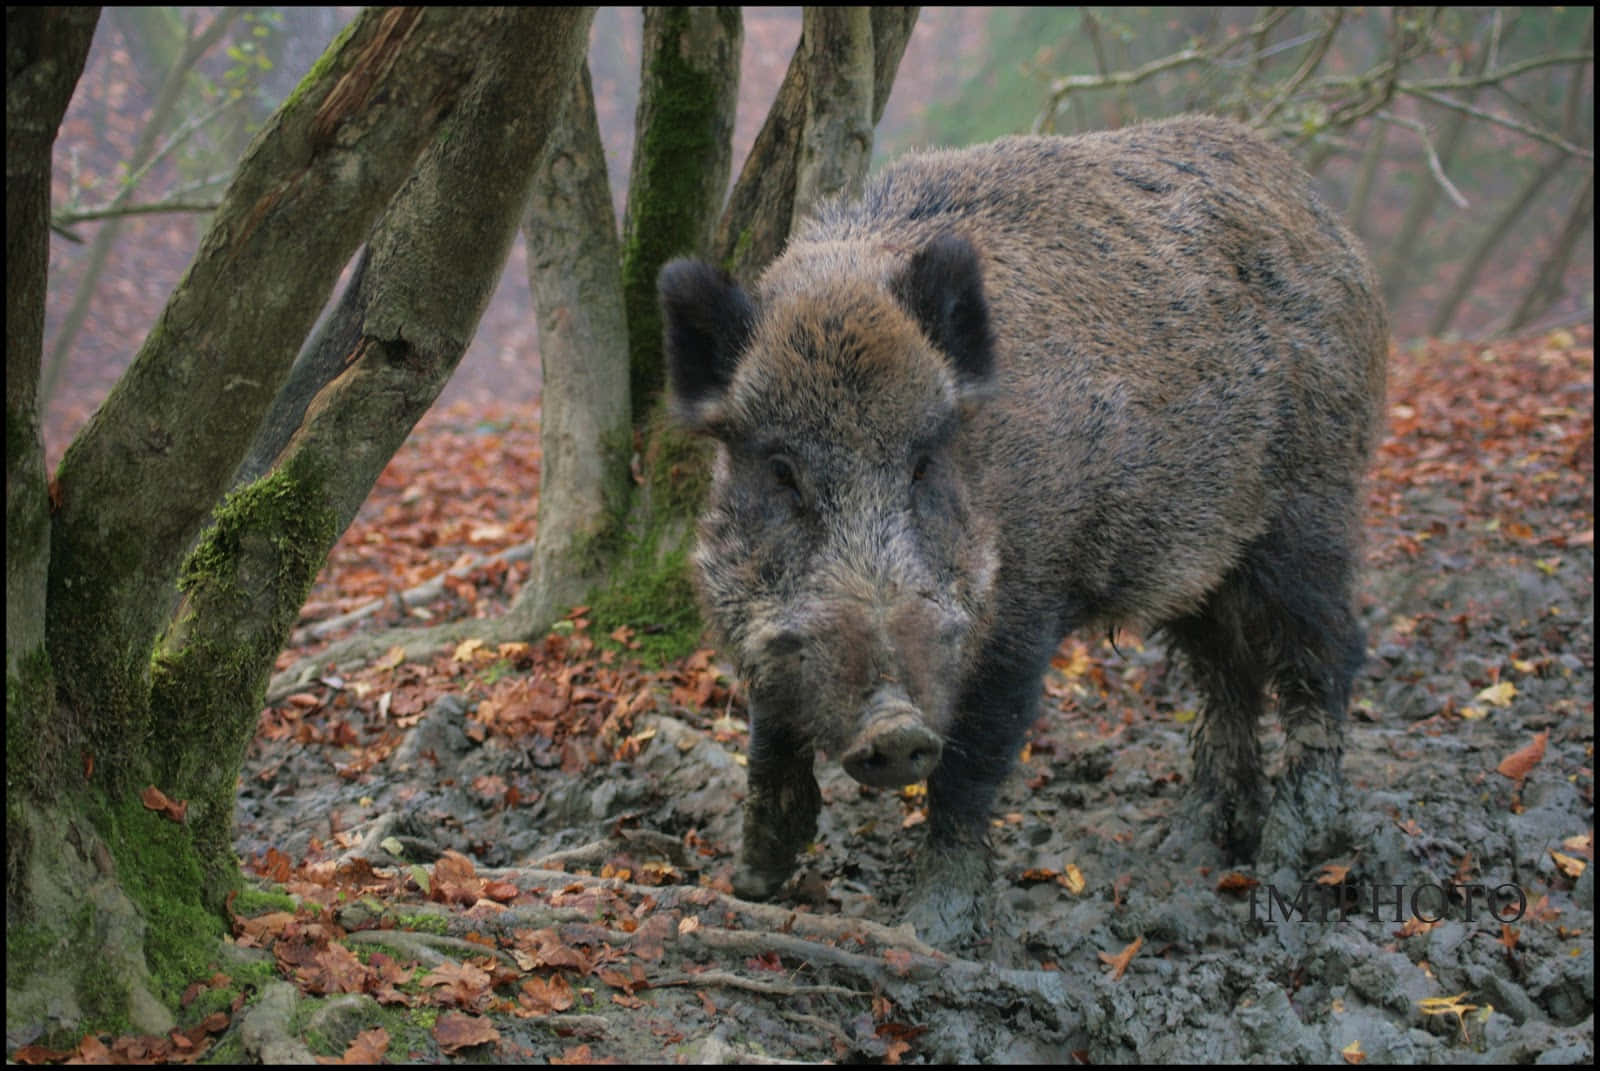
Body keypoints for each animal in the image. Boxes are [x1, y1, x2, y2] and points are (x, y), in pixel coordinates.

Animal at [658, 115, 1387, 945]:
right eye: (780, 471)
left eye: (923, 463)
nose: (893, 728)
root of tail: (1325, 217)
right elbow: (768, 733)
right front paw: (751, 883)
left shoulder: (1024, 606)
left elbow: (971, 765)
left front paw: (931, 930)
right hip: (1199, 561)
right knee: (1226, 674)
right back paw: (1190, 845)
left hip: (1311, 507)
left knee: (1325, 651)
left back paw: (1292, 853)